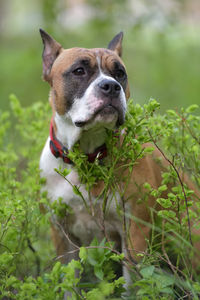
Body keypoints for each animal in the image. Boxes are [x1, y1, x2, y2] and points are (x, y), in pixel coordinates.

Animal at [39, 29, 200, 290]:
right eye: (79, 71)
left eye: (120, 74)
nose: (111, 86)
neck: (88, 156)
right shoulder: (63, 236)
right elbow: (69, 283)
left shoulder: (134, 232)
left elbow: (133, 284)